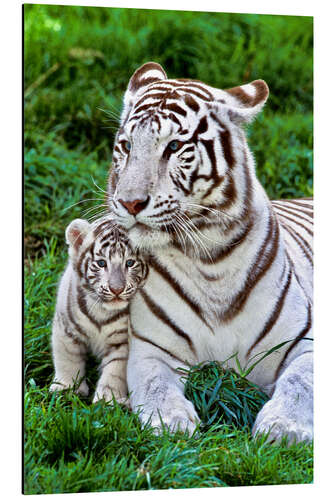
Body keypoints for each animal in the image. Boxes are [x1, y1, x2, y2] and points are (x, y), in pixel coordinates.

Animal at [49, 217, 148, 404]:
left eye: (130, 263)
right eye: (102, 263)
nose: (117, 289)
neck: (102, 311)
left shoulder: (122, 342)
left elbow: (115, 371)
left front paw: (109, 400)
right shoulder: (65, 329)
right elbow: (67, 359)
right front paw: (67, 389)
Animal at [105, 63, 312, 446]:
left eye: (173, 146)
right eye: (126, 146)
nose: (129, 202)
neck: (210, 257)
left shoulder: (306, 341)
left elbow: (300, 383)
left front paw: (283, 429)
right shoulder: (152, 348)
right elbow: (156, 386)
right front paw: (171, 423)